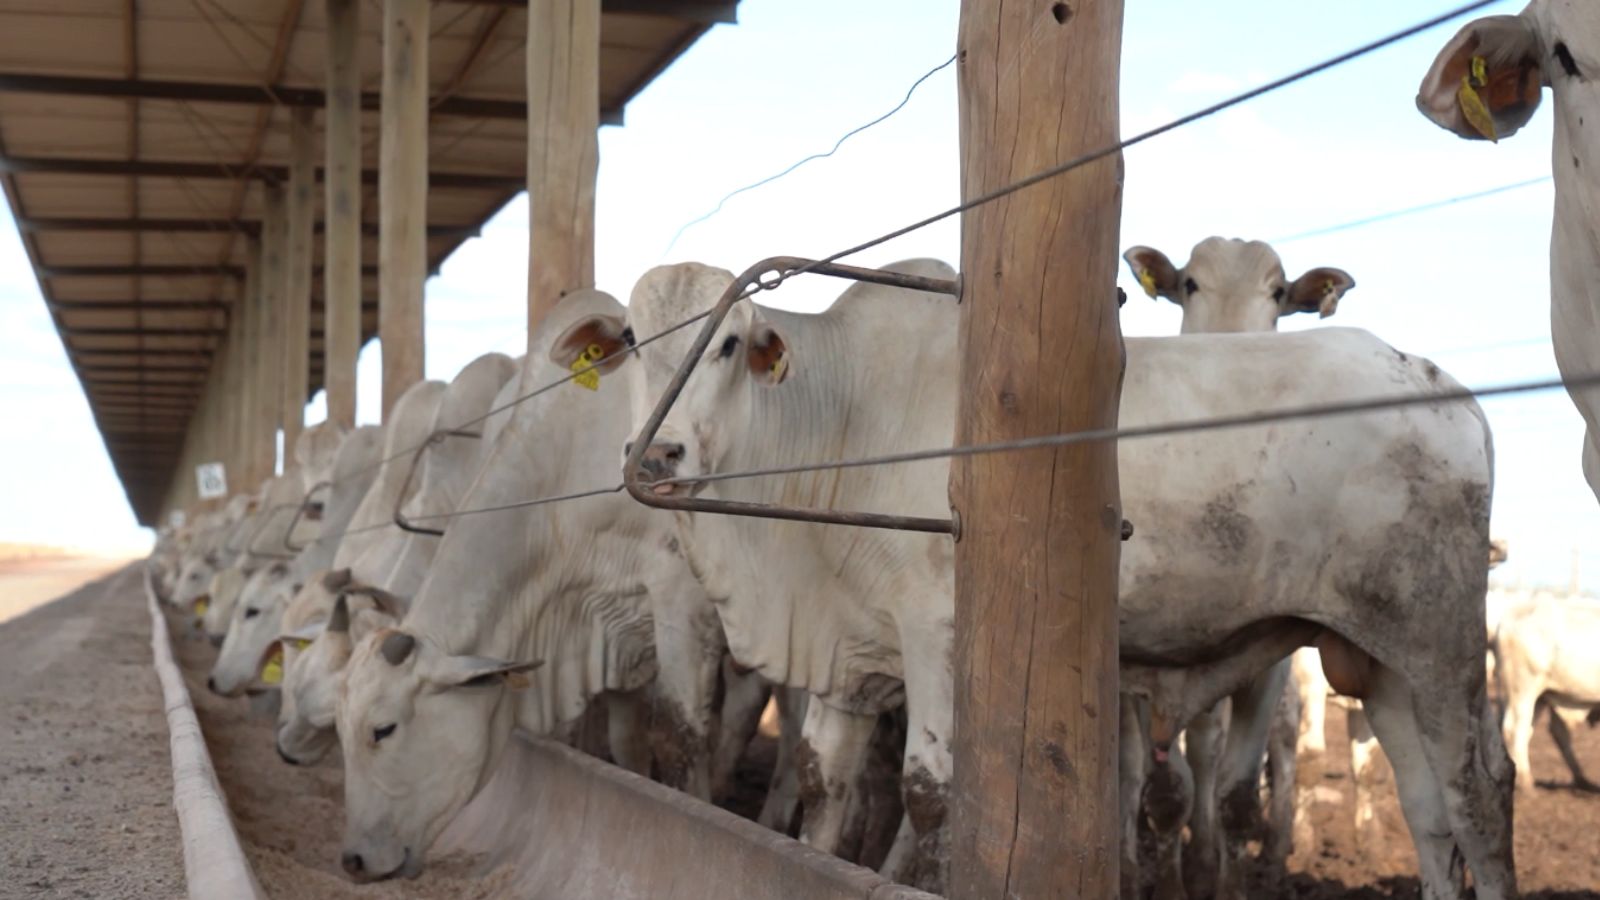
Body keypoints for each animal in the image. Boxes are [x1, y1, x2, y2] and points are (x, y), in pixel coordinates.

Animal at [337, 291, 726, 877]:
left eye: (382, 729)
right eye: (339, 729)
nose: (353, 859)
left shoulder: (682, 598)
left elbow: (687, 741)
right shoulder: (614, 641)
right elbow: (625, 741)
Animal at [620, 259, 1510, 896]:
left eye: (728, 342)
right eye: (631, 340)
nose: (658, 454)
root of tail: (1438, 384)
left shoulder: (937, 639)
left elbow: (931, 797)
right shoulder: (849, 653)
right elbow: (820, 784)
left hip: (1437, 645)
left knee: (1480, 793)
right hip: (1379, 663)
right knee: (1429, 812)